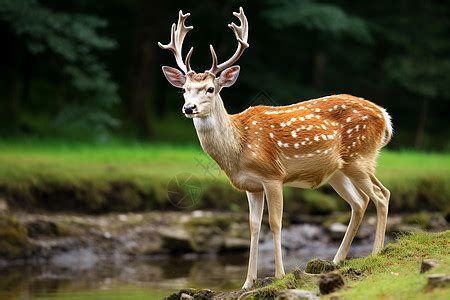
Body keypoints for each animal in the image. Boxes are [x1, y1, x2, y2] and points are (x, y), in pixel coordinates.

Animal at [158, 6, 390, 288]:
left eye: (210, 88)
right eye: (184, 89)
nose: (188, 107)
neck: (239, 147)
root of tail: (384, 115)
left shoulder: (273, 176)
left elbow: (276, 222)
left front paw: (279, 275)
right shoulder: (251, 186)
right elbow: (253, 226)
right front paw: (247, 282)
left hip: (360, 158)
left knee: (381, 195)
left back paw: (376, 252)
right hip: (339, 171)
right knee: (360, 202)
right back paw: (336, 260)